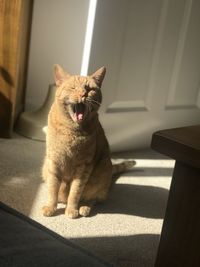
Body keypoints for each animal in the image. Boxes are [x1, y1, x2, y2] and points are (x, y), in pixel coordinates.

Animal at [42, 65, 136, 220]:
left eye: (89, 89)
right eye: (73, 88)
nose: (83, 95)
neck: (72, 132)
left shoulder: (84, 166)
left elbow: (75, 192)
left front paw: (71, 209)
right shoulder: (54, 161)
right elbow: (52, 188)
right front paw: (50, 207)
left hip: (102, 170)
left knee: (93, 198)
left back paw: (84, 207)